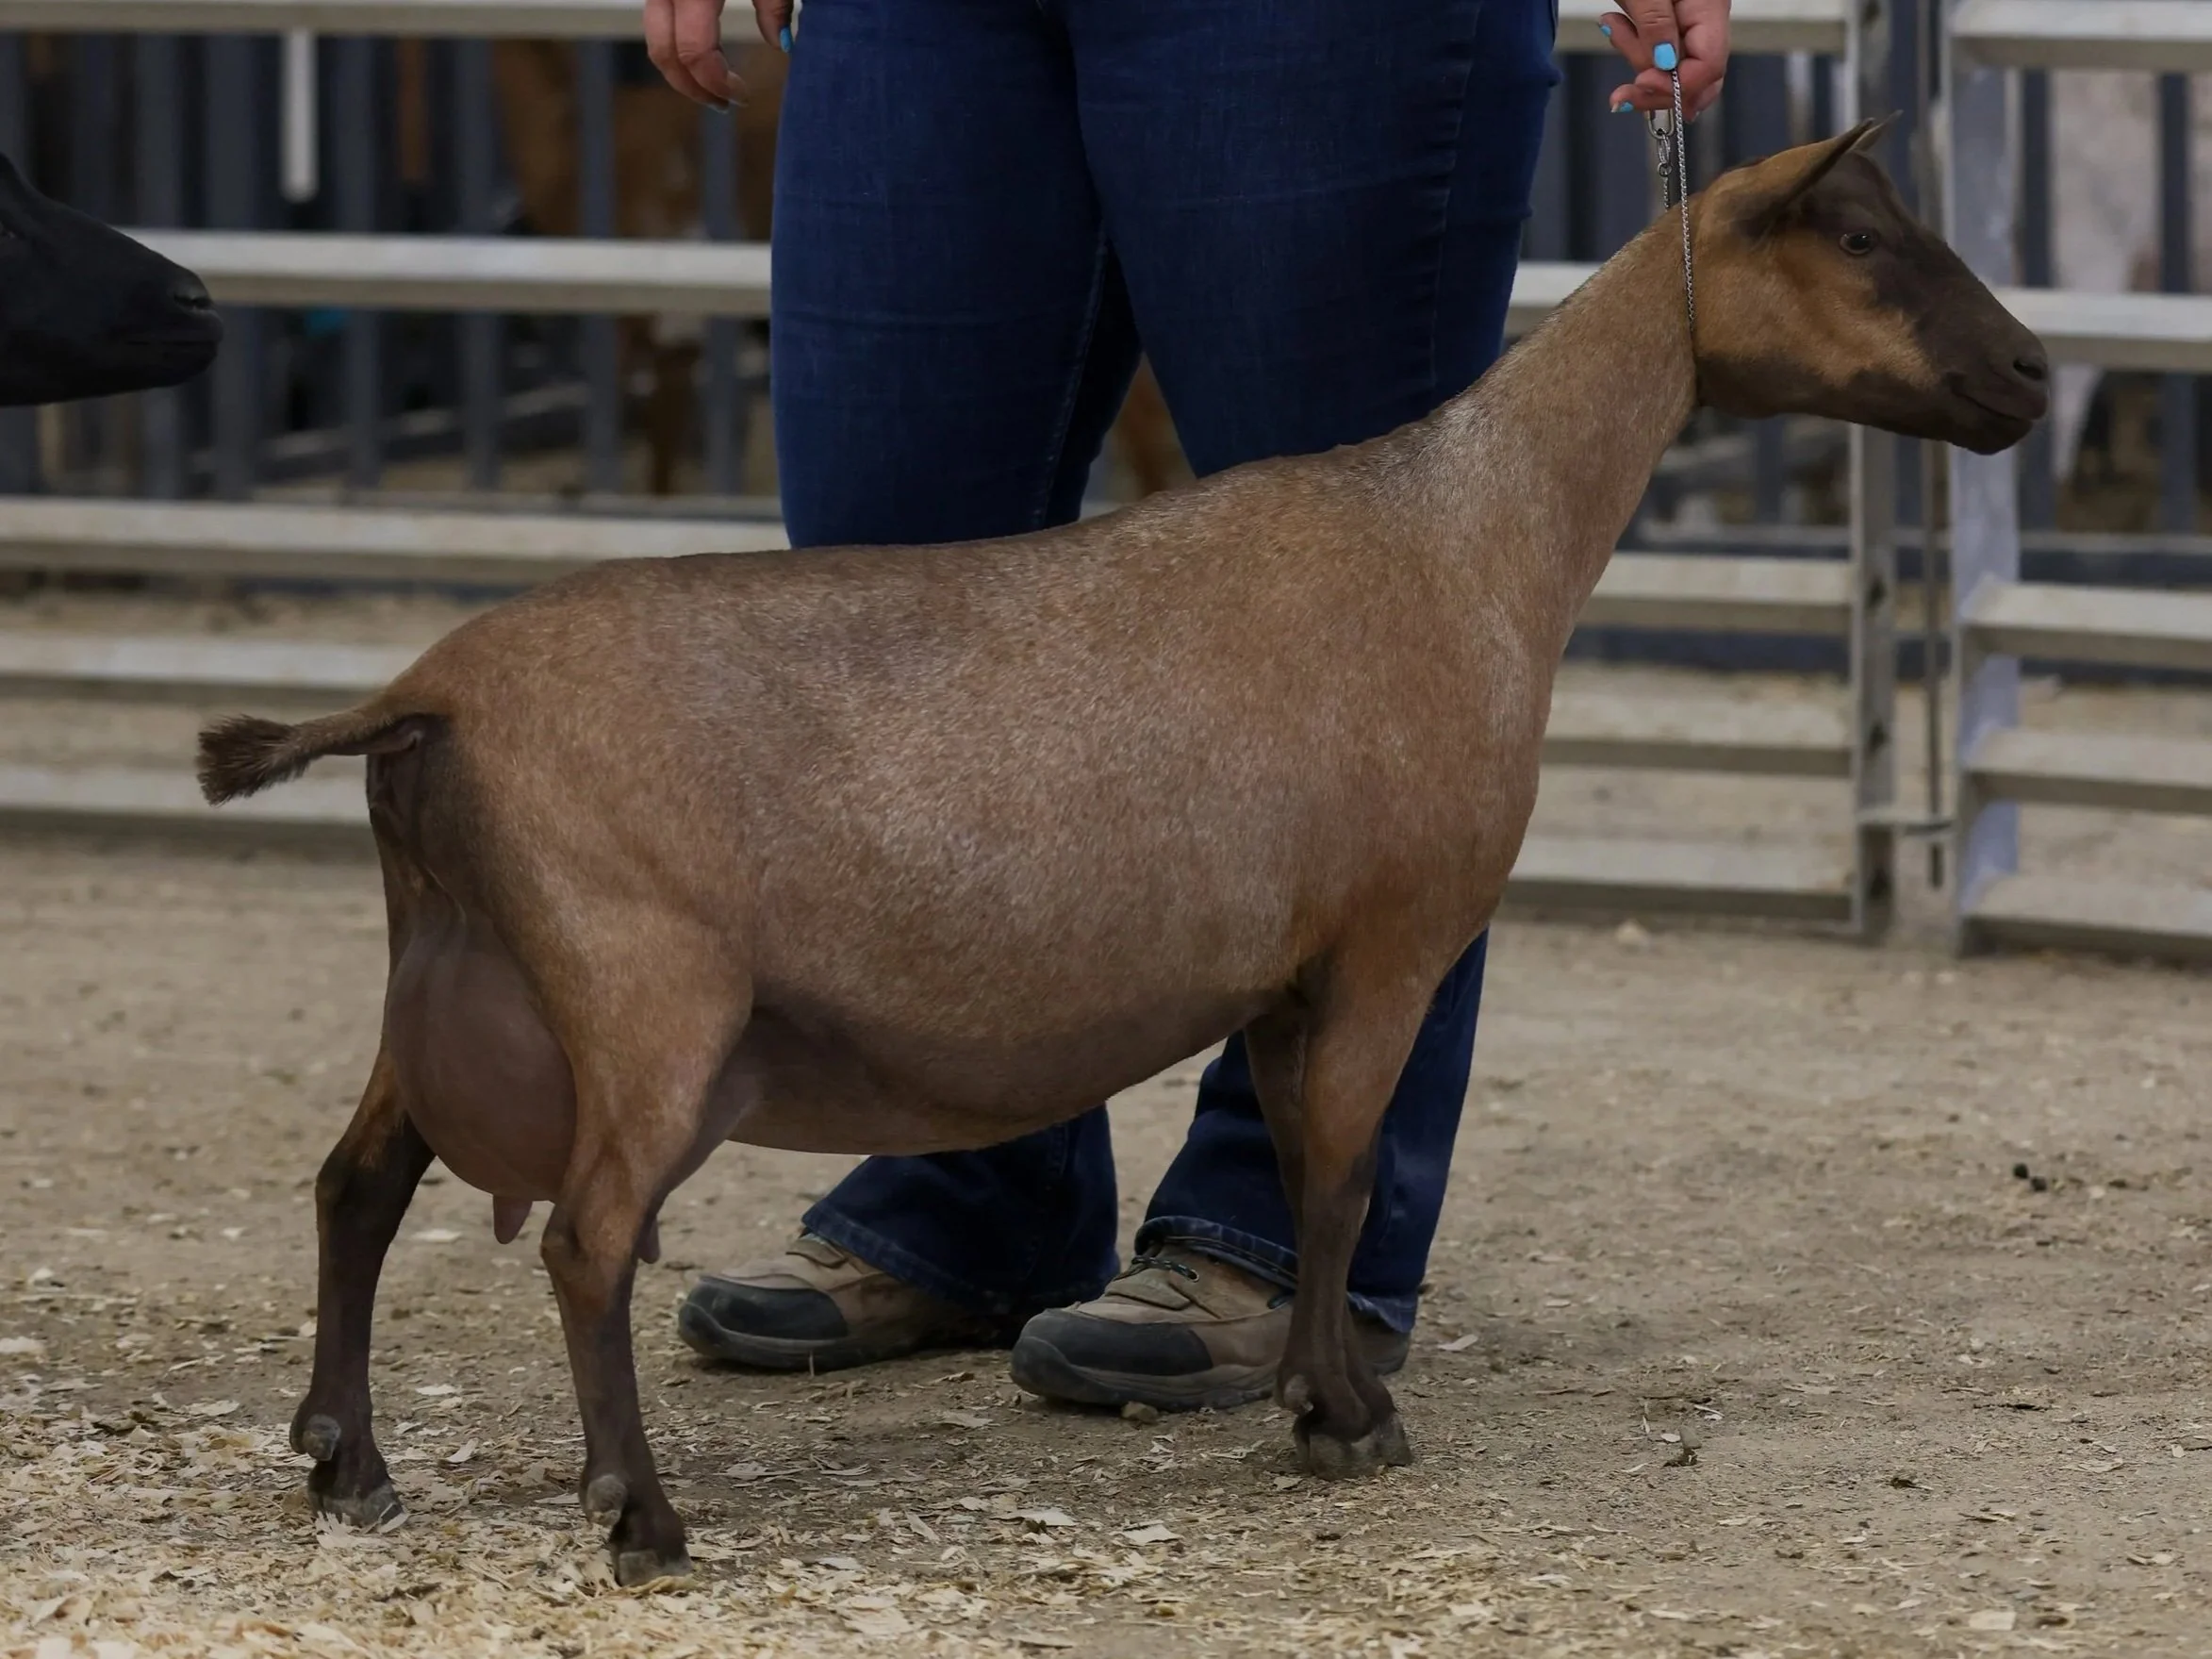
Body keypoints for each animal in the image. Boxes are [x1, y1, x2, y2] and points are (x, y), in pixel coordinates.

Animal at [197, 123, 2045, 1587]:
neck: (1477, 531)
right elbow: (1340, 1174)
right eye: (1860, 236)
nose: (2028, 372)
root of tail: (424, 701)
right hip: (638, 986)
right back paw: (638, 1515)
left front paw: (1313, 1385)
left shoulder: (1287, 971)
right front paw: (1343, 1417)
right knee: (584, 1237)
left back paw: (347, 1462)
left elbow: (1300, 1166)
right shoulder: (1389, 939)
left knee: (355, 1183)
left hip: (456, 962)